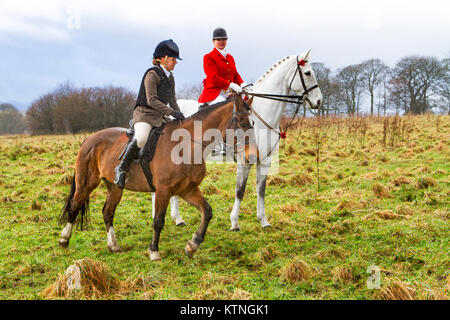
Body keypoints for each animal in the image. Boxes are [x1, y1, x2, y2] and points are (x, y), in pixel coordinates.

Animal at [59, 94, 256, 260]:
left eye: (253, 122)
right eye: (241, 121)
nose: (252, 157)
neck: (187, 144)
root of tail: (89, 138)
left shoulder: (188, 189)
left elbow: (207, 212)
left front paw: (192, 245)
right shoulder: (164, 190)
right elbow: (158, 221)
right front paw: (154, 251)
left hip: (115, 187)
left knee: (108, 212)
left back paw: (113, 245)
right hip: (86, 183)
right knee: (75, 205)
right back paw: (64, 239)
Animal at [153, 50, 322, 230]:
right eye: (308, 73)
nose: (319, 101)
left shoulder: (265, 160)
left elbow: (261, 189)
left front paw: (263, 220)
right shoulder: (244, 161)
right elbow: (240, 191)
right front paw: (234, 222)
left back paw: (177, 218)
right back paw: (171, 217)